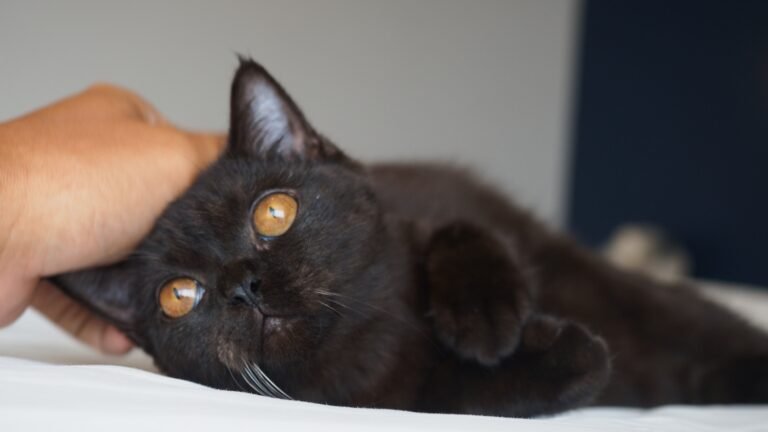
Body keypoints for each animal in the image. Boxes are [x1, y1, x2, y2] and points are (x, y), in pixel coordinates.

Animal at [57, 59, 768, 416]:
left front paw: (482, 318)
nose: (241, 286)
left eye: (273, 214)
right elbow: (475, 395)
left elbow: (453, 231)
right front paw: (567, 352)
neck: (375, 338)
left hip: (665, 307)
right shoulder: (393, 400)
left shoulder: (431, 203)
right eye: (182, 296)